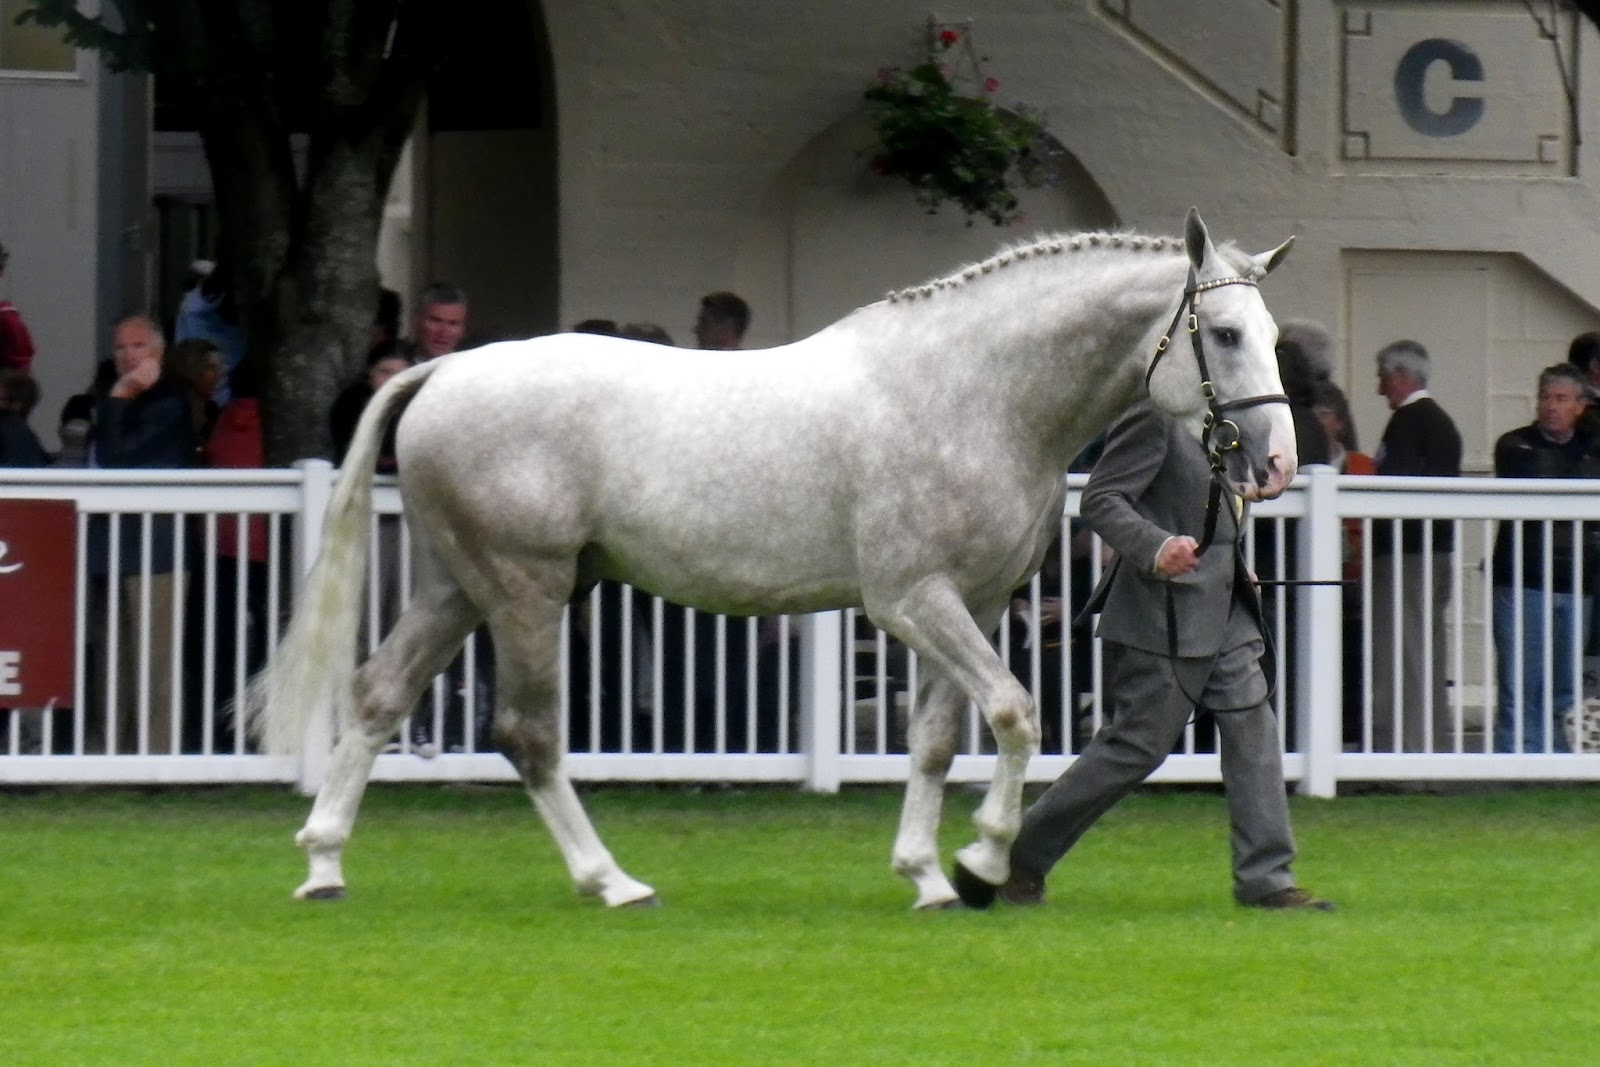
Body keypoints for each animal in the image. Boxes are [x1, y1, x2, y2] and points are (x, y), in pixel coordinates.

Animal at [247, 209, 1297, 910]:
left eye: (1277, 335)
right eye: (1226, 334)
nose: (1277, 463)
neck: (970, 394)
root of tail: (444, 369)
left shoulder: (977, 604)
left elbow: (935, 739)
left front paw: (928, 875)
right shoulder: (912, 601)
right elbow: (1012, 713)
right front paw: (986, 858)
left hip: (455, 587)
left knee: (379, 695)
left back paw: (324, 862)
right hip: (524, 591)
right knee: (527, 734)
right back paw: (611, 880)